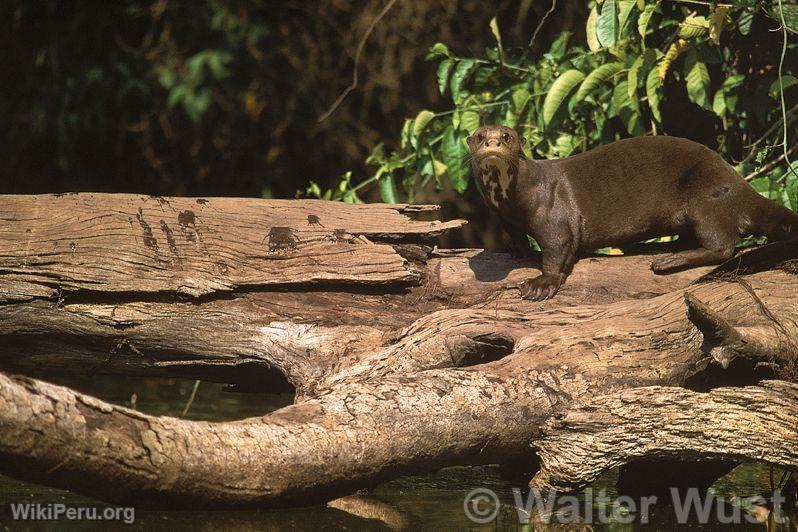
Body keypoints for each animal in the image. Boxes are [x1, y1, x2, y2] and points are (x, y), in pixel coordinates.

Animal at [468, 124, 798, 300]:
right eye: (480, 135)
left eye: (507, 136)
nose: (493, 142)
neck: (519, 196)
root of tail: (738, 182)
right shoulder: (504, 218)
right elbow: (515, 235)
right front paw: (518, 250)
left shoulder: (555, 216)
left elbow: (557, 250)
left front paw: (541, 283)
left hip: (705, 196)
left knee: (724, 245)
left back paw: (668, 261)